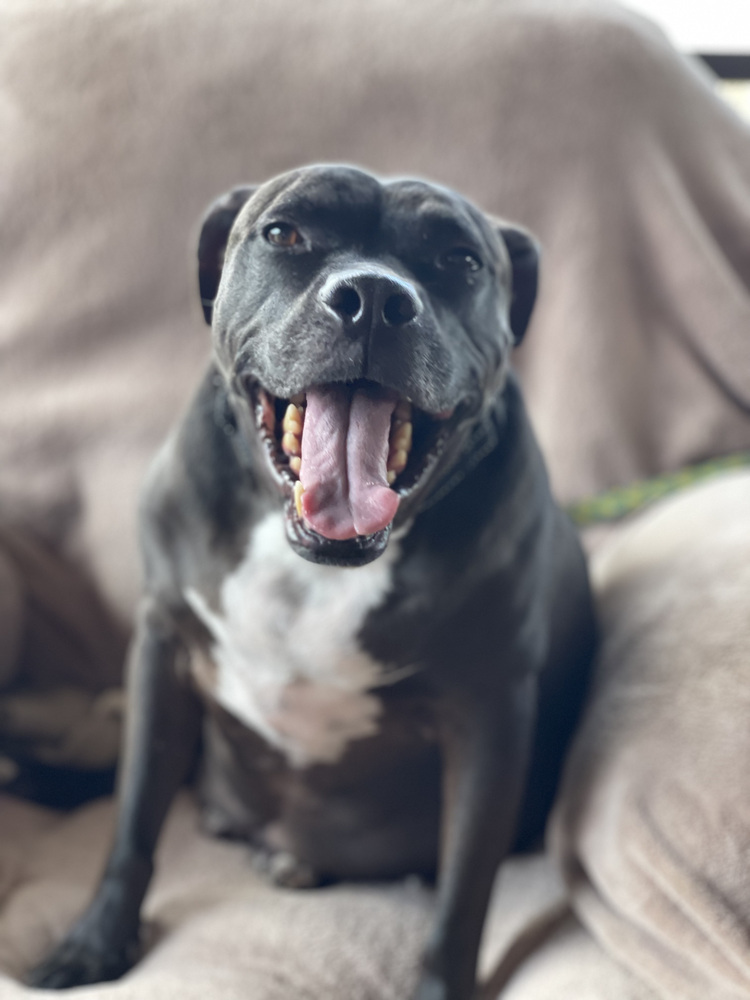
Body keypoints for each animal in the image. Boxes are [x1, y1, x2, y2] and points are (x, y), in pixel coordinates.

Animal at [30, 166, 600, 1000]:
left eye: (460, 260)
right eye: (285, 233)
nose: (374, 296)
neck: (315, 562)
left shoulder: (489, 712)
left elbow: (464, 890)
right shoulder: (162, 650)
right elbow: (133, 817)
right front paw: (96, 943)